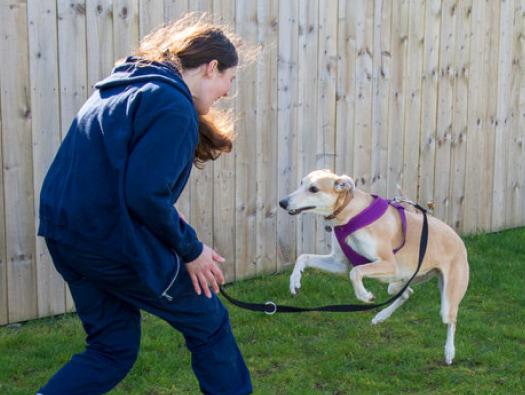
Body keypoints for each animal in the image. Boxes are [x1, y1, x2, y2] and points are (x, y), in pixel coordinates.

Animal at [280, 169, 468, 366]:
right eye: (301, 183)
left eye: (314, 189)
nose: (282, 202)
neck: (350, 211)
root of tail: (458, 238)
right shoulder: (338, 263)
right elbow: (303, 257)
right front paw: (295, 281)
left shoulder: (389, 264)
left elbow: (355, 272)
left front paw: (364, 295)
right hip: (396, 282)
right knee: (406, 293)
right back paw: (381, 316)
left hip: (446, 296)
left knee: (451, 320)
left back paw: (449, 352)